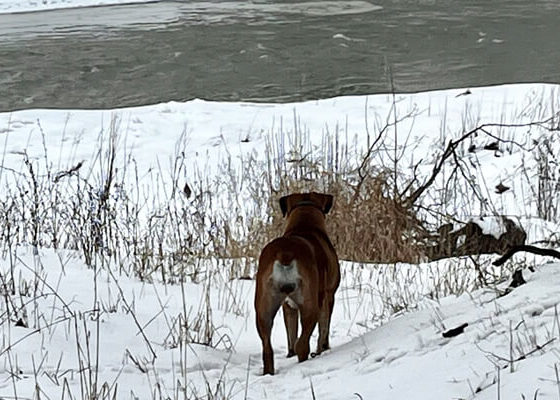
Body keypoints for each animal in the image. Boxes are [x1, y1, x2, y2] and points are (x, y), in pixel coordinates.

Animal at [255, 192, 342, 374]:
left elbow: (291, 330)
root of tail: (285, 252)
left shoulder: (287, 306)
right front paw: (324, 348)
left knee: (267, 347)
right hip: (310, 304)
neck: (304, 226)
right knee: (302, 342)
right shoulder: (329, 296)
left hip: (263, 308)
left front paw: (290, 354)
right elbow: (324, 327)